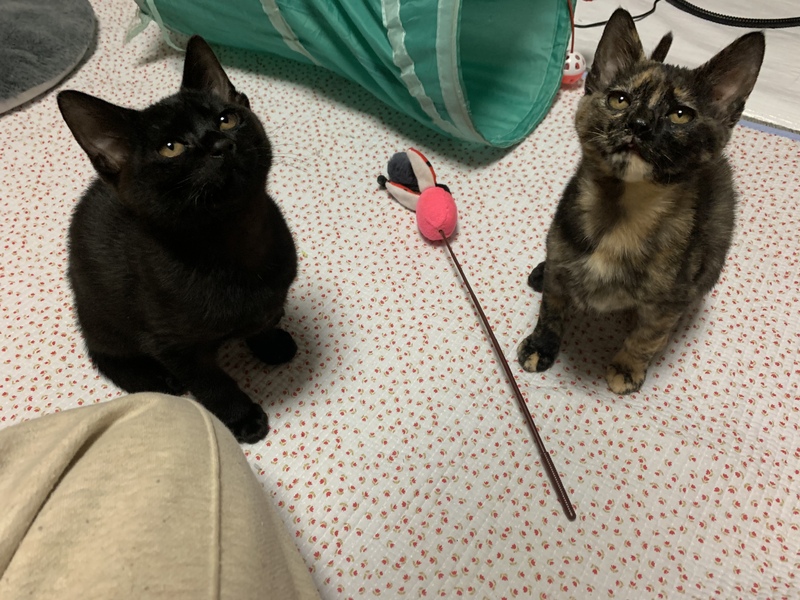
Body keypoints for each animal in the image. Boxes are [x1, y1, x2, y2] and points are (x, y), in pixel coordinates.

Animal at [57, 36, 298, 443]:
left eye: (227, 119)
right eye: (171, 148)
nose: (220, 144)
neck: (235, 244)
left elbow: (264, 319)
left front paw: (272, 342)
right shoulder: (173, 346)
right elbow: (212, 382)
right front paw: (243, 418)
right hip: (102, 314)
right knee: (102, 352)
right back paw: (156, 379)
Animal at [517, 9, 764, 395]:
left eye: (681, 114)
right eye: (619, 100)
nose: (639, 123)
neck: (620, 211)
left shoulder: (667, 305)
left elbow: (647, 336)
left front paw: (627, 367)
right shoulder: (561, 257)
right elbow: (551, 309)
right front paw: (541, 345)